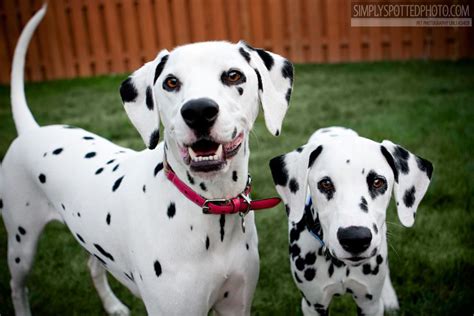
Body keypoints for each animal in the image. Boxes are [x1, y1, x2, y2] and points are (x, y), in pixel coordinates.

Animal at [0, 5, 292, 316]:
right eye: (171, 82)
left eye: (234, 76)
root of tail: (32, 130)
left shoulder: (235, 305)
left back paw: (113, 305)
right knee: (17, 286)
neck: (210, 206)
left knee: (93, 265)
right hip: (22, 245)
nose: (198, 111)